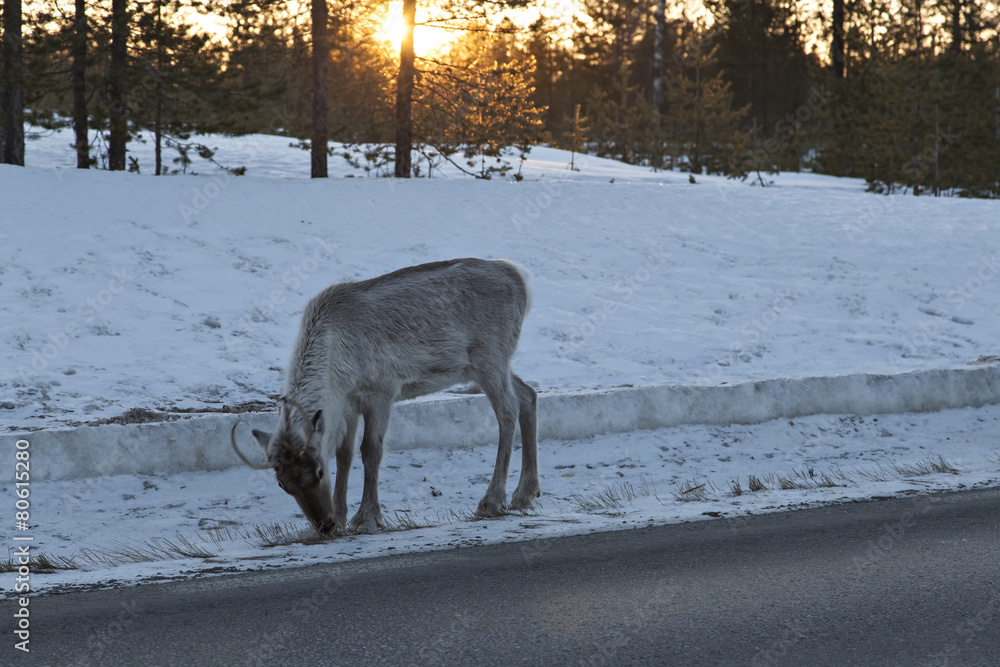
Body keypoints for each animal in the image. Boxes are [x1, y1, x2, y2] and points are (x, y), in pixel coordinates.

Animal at [231, 258, 539, 535]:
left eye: (318, 471)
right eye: (283, 484)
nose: (324, 525)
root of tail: (522, 278)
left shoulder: (381, 391)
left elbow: (370, 450)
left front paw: (366, 518)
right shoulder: (348, 404)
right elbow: (344, 454)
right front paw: (341, 516)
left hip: (490, 359)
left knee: (508, 410)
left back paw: (492, 500)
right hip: (485, 366)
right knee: (528, 395)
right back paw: (525, 493)